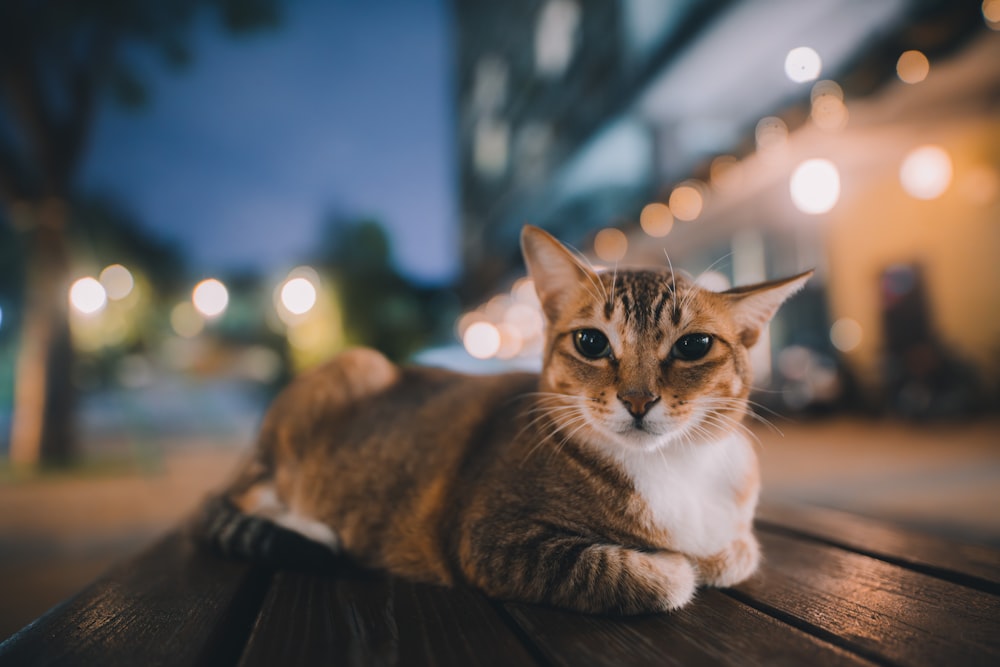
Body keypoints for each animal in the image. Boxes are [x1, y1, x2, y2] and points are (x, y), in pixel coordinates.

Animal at [195, 226, 812, 616]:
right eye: (591, 342)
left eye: (694, 346)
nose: (638, 401)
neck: (672, 466)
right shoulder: (490, 539)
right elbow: (654, 574)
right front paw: (679, 565)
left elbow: (739, 551)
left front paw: (717, 553)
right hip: (351, 370)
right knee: (251, 497)